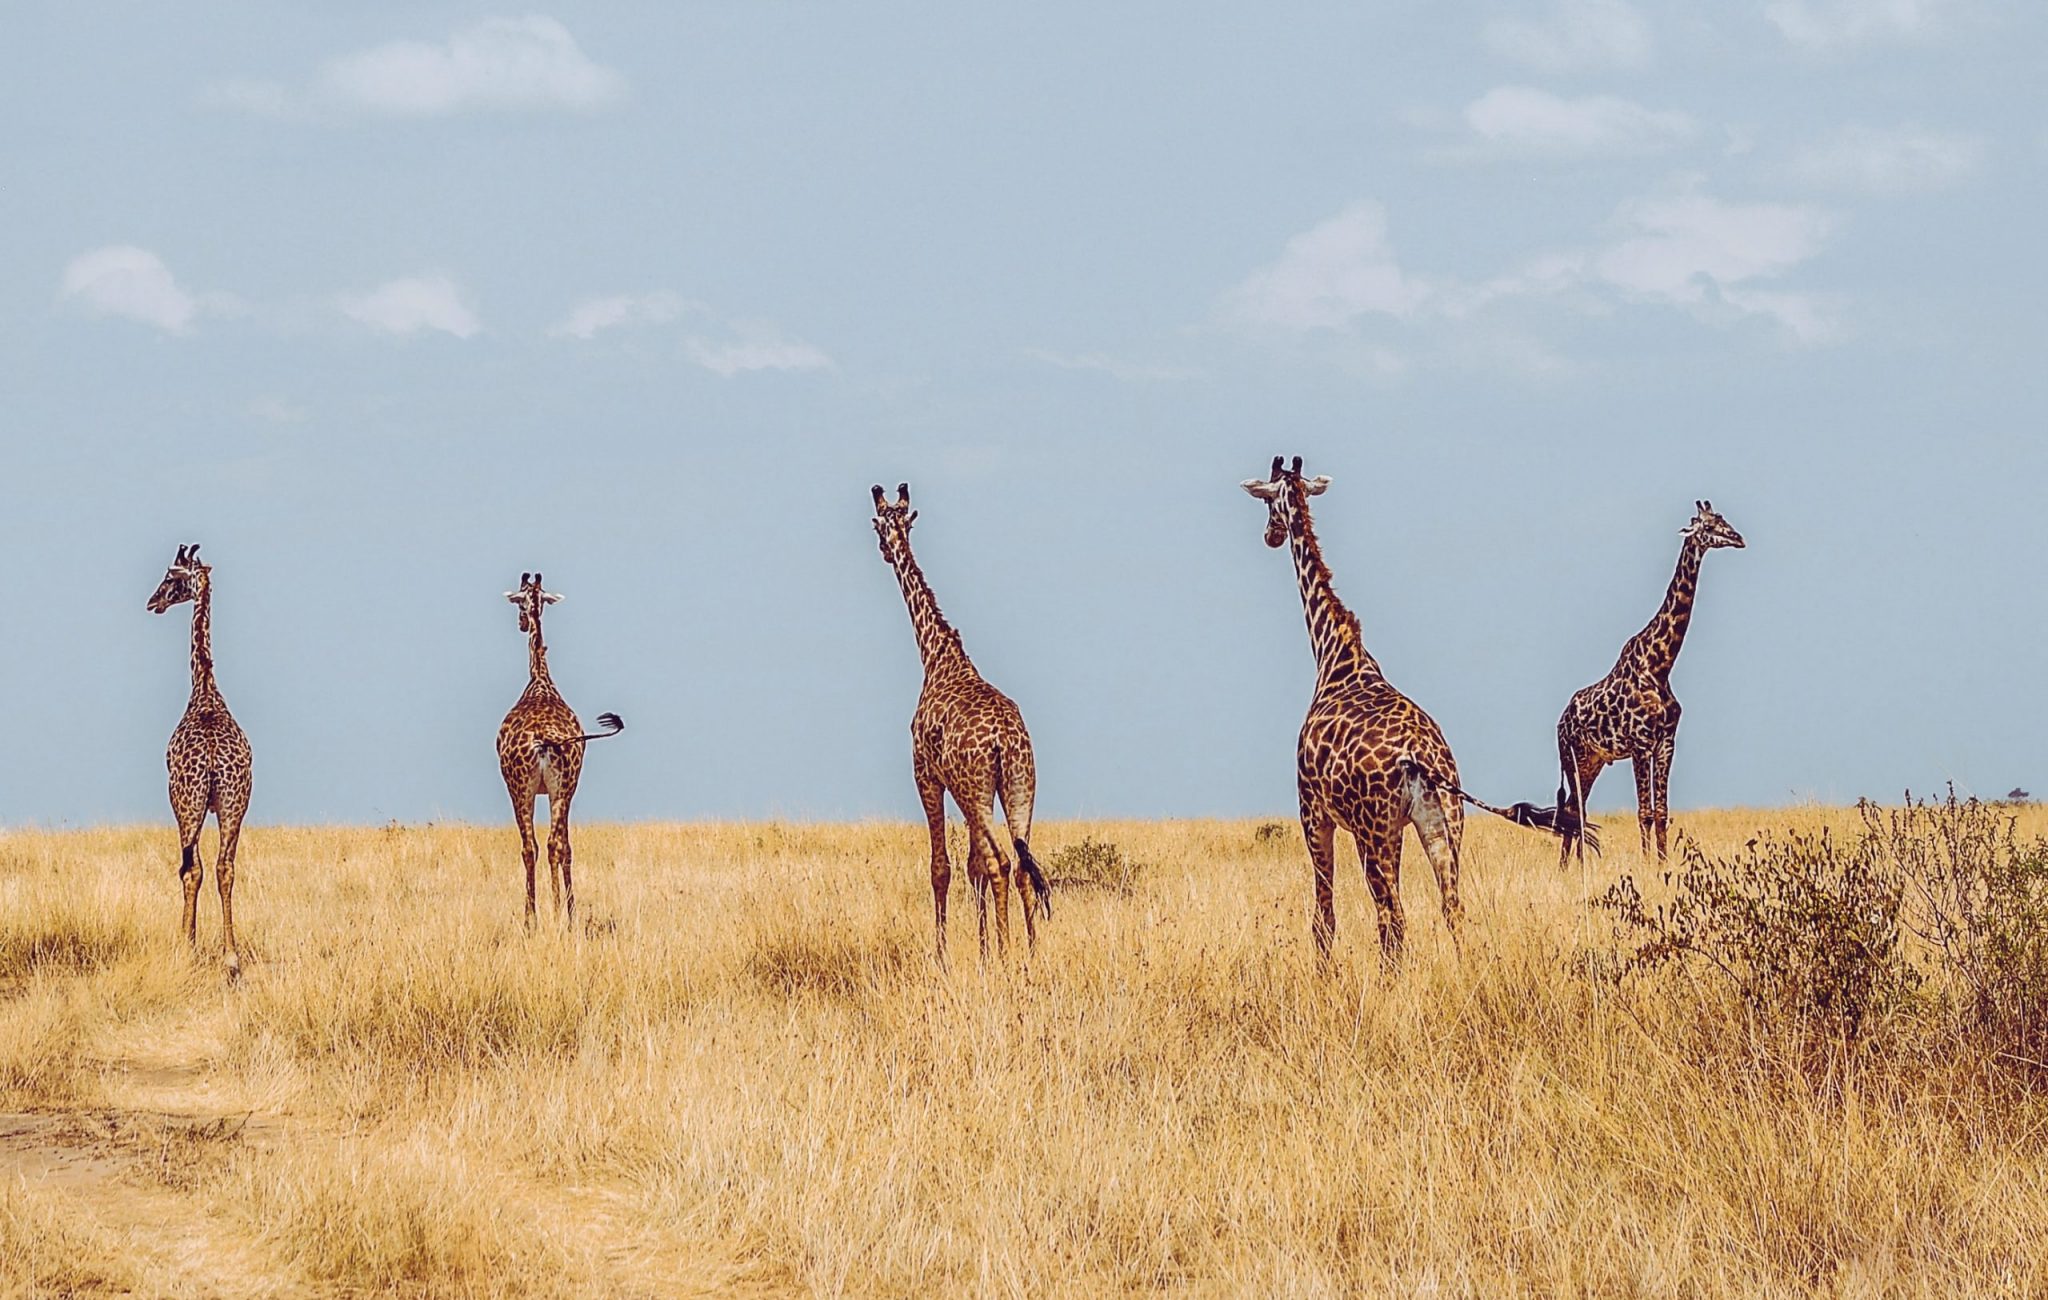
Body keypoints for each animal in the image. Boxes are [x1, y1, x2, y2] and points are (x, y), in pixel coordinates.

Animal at [497, 572, 624, 927]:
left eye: (519, 600)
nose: (521, 623)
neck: (540, 679)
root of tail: (544, 740)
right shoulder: (566, 788)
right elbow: (565, 846)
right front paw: (564, 912)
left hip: (523, 788)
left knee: (533, 847)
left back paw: (536, 919)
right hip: (558, 786)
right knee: (553, 845)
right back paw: (557, 916)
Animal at [870, 483, 1050, 963]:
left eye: (878, 524)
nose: (885, 552)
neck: (937, 656)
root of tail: (1003, 741)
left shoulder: (926, 775)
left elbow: (943, 867)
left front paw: (946, 956)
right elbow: (971, 866)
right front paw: (983, 953)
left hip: (976, 789)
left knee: (1001, 862)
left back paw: (1008, 954)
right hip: (1020, 785)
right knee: (1022, 863)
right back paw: (1031, 952)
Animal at [1242, 457, 1587, 961]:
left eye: (1268, 501)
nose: (1270, 536)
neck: (1336, 656)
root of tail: (1419, 758)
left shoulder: (1313, 812)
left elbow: (1324, 919)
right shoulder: (1399, 827)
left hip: (1373, 829)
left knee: (1393, 917)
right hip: (1442, 822)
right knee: (1452, 908)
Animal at [1554, 500, 1745, 865]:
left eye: (1724, 520)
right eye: (1707, 526)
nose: (1739, 539)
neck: (1659, 666)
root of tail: (1560, 721)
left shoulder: (1666, 743)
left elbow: (1661, 811)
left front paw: (1662, 862)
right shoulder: (1641, 744)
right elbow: (1644, 812)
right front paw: (1647, 864)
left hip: (1593, 760)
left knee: (1575, 808)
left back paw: (1571, 866)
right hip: (1571, 756)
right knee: (1573, 809)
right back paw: (1571, 866)